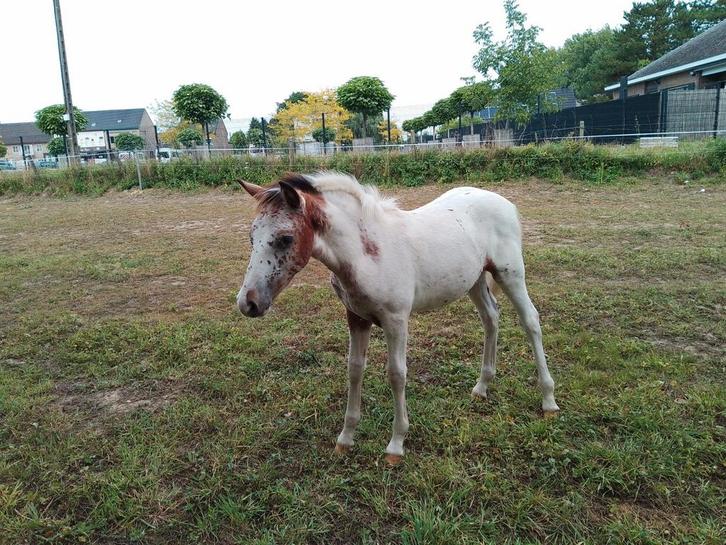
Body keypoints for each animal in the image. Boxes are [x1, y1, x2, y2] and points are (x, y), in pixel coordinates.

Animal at [236, 172, 559, 465]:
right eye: (251, 237)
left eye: (285, 238)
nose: (248, 303)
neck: (367, 254)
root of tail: (503, 201)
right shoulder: (356, 317)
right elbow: (355, 370)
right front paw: (345, 439)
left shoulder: (396, 320)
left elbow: (396, 374)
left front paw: (396, 444)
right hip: (476, 279)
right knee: (491, 318)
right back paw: (482, 387)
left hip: (510, 273)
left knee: (530, 320)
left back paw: (548, 400)